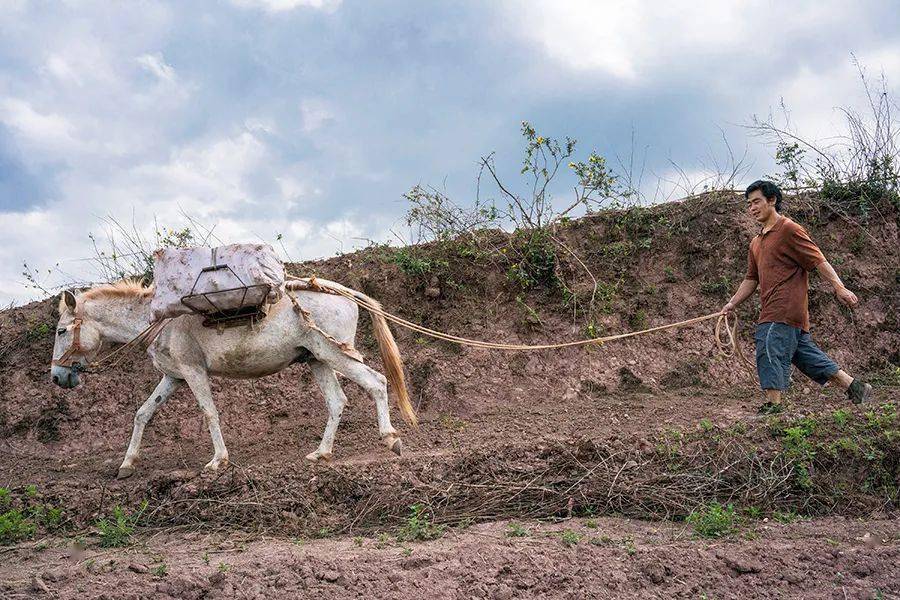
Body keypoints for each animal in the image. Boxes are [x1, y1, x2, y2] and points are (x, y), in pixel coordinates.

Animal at [48, 278, 414, 478]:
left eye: (61, 331)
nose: (56, 377)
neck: (160, 319)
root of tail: (336, 289)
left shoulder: (193, 372)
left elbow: (209, 413)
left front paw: (217, 461)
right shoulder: (173, 377)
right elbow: (142, 414)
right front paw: (127, 464)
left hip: (336, 354)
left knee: (377, 382)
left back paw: (390, 438)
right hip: (318, 359)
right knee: (338, 401)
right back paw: (321, 454)